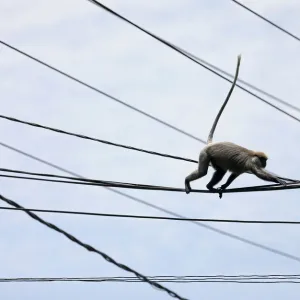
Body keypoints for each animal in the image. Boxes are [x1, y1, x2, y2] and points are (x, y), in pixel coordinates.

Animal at [185, 54, 286, 197]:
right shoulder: (253, 162)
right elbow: (258, 173)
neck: (254, 154)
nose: (265, 163)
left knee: (220, 171)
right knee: (203, 172)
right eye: (263, 160)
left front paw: (224, 186)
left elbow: (233, 175)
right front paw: (278, 180)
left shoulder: (242, 168)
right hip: (204, 153)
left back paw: (209, 187)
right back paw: (187, 181)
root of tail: (211, 144)